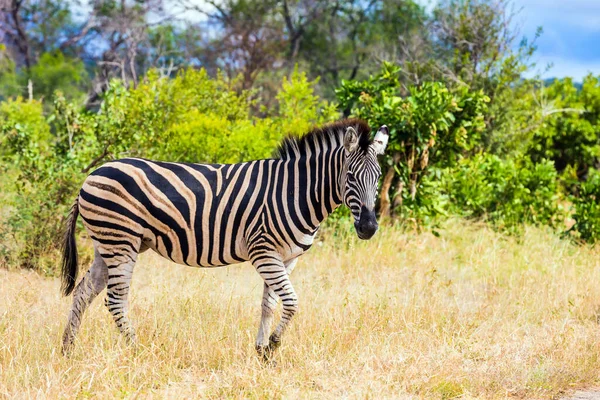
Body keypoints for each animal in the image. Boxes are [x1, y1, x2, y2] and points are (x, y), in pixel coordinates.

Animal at [61, 118, 390, 356]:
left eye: (378, 179)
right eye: (350, 177)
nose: (369, 228)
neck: (295, 191)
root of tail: (91, 175)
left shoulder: (286, 257)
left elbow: (269, 303)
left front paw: (262, 351)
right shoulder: (263, 251)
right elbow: (292, 302)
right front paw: (273, 344)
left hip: (107, 244)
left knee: (83, 292)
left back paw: (68, 350)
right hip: (121, 241)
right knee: (115, 299)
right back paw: (136, 350)